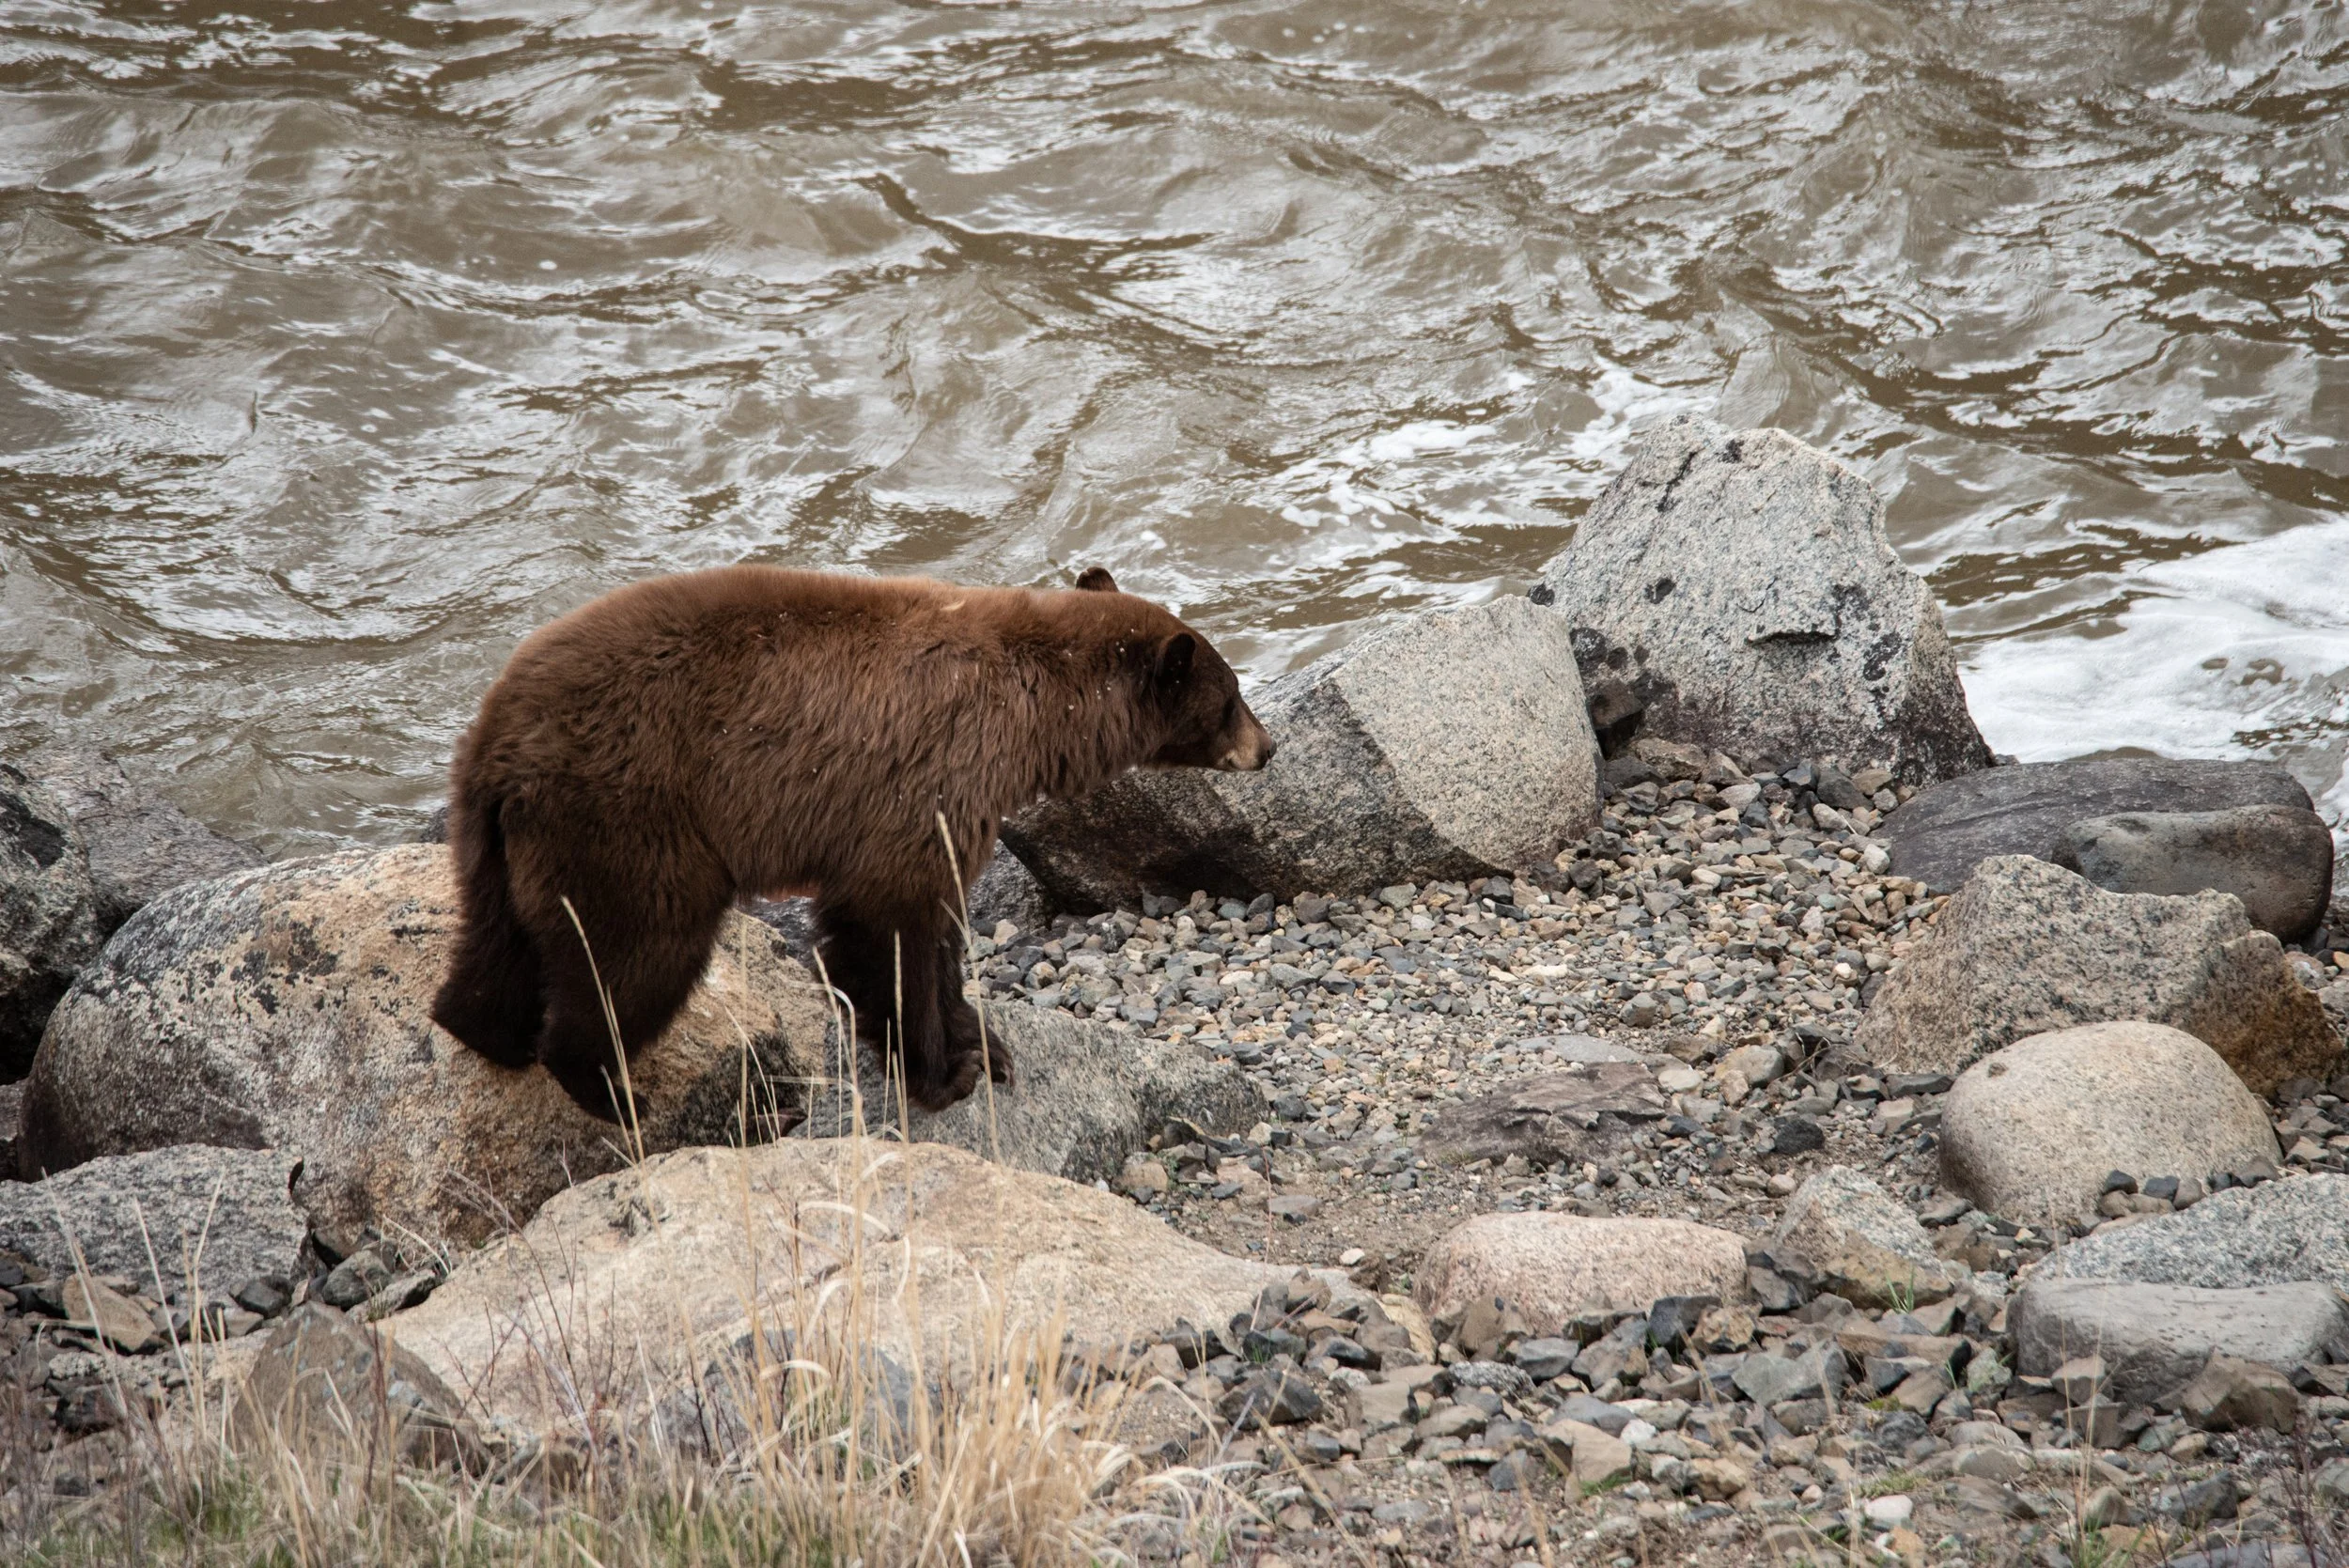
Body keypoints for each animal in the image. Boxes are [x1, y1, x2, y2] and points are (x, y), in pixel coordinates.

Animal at [428, 565, 1273, 1121]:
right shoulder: (929, 779)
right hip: (631, 823)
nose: (1267, 749)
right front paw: (942, 1070)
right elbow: (892, 923)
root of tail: (498, 741)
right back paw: (617, 1095)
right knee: (635, 953)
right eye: (1232, 697)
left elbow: (942, 929)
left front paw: (980, 1039)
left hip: (499, 844)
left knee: (497, 950)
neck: (1034, 709)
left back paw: (484, 1030)